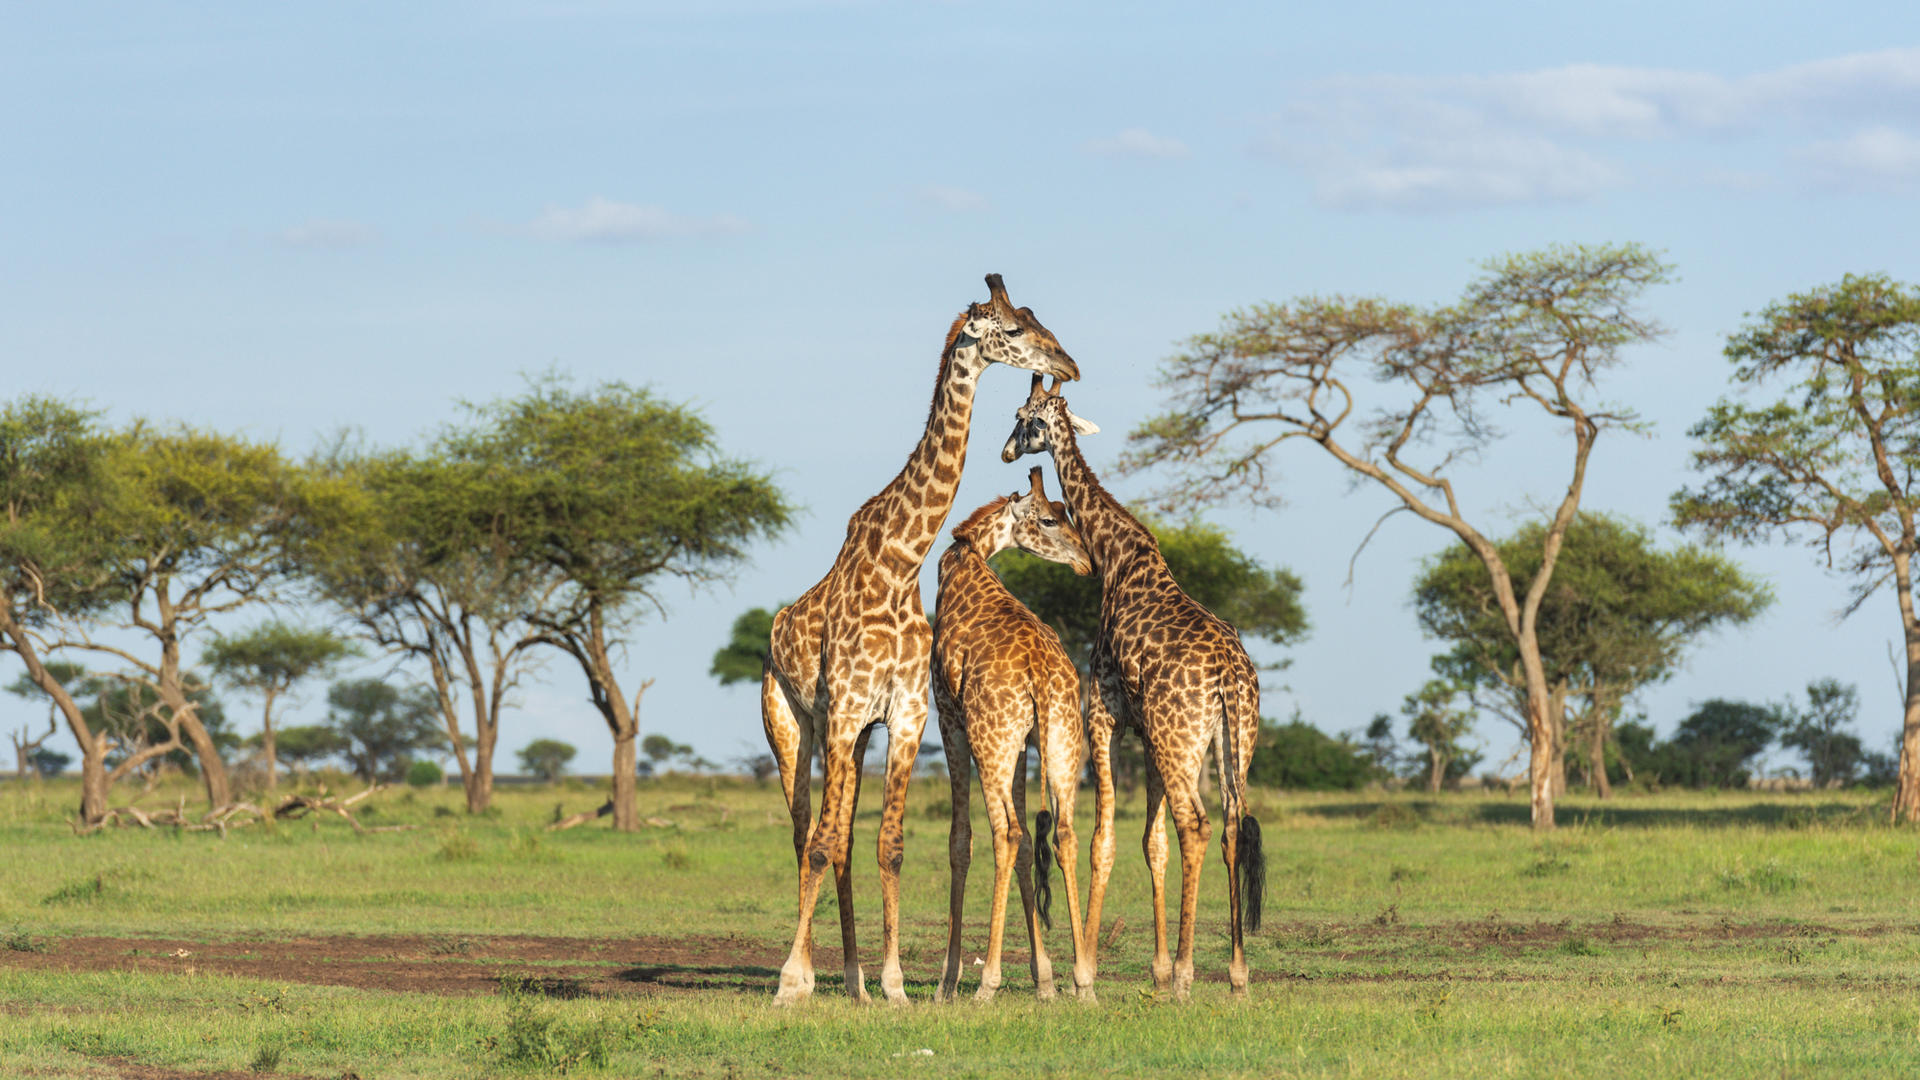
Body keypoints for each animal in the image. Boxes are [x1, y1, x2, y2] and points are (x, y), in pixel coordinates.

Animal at [932, 466, 1093, 1004]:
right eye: (1051, 517)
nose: (1088, 562)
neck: (967, 559)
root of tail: (1040, 673)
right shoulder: (1024, 742)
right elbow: (1029, 850)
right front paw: (1045, 979)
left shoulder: (949, 720)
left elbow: (961, 839)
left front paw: (948, 980)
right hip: (1062, 740)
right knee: (1062, 834)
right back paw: (1084, 981)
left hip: (992, 740)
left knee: (1006, 833)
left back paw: (986, 982)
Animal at [1001, 376, 1267, 1000]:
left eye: (1024, 417)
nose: (1004, 451)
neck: (1117, 558)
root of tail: (1229, 676)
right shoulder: (1148, 732)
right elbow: (1153, 843)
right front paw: (1157, 968)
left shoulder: (1105, 712)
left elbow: (1104, 840)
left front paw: (1088, 972)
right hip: (1226, 740)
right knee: (1230, 827)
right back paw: (1237, 974)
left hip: (1181, 737)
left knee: (1197, 825)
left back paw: (1192, 975)